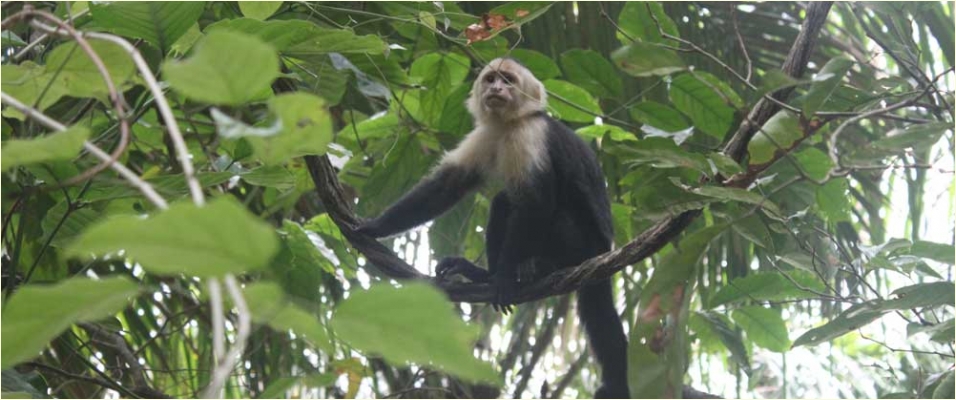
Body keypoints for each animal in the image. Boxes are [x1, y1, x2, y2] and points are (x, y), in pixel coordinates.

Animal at [356, 57, 628, 398]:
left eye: (508, 80)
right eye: (491, 79)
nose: (496, 89)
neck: (509, 124)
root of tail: (603, 252)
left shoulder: (531, 134)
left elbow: (537, 202)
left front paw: (504, 280)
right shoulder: (485, 134)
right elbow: (449, 184)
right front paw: (374, 227)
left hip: (584, 244)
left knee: (548, 215)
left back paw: (538, 267)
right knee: (503, 203)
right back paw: (484, 274)